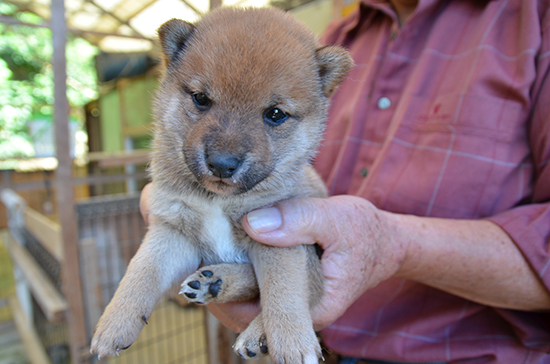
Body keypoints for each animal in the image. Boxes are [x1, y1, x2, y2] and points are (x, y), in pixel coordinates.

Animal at [90, 6, 354, 364]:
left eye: (275, 114)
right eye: (201, 99)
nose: (222, 163)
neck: (218, 201)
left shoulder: (277, 236)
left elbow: (284, 294)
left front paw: (292, 344)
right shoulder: (171, 229)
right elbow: (140, 273)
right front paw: (113, 325)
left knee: (307, 289)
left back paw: (251, 325)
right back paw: (213, 282)